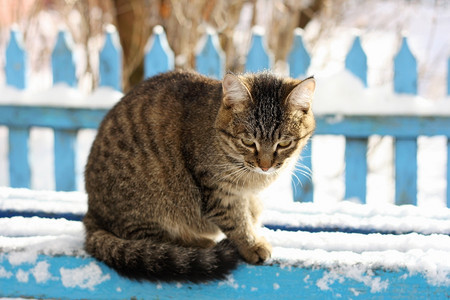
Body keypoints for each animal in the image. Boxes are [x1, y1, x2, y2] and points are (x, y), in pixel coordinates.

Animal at [82, 69, 314, 282]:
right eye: (248, 142)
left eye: (284, 143)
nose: (265, 166)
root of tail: (91, 212)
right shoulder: (218, 191)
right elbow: (236, 221)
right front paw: (251, 244)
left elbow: (250, 211)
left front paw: (253, 217)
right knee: (149, 242)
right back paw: (200, 243)